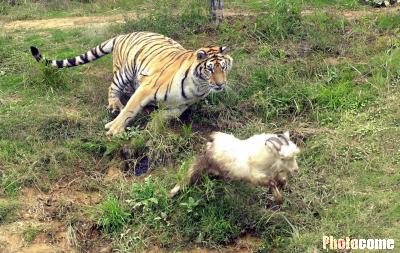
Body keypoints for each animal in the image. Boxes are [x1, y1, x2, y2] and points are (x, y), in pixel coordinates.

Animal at [30, 31, 234, 136]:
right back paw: (114, 105)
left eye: (223, 67)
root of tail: (123, 34)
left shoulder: (181, 106)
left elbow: (166, 116)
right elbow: (130, 109)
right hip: (125, 71)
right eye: (210, 69)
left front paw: (153, 126)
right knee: (113, 88)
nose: (221, 84)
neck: (198, 86)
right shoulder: (147, 87)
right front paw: (114, 128)